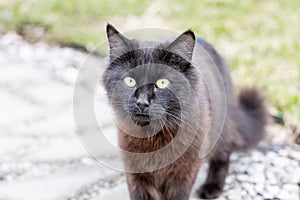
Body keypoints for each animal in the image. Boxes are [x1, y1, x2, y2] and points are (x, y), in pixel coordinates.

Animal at [102, 24, 268, 199]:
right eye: (130, 81)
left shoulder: (185, 170)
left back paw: (212, 187)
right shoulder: (136, 172)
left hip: (219, 131)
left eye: (162, 83)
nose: (142, 102)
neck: (153, 136)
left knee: (224, 154)